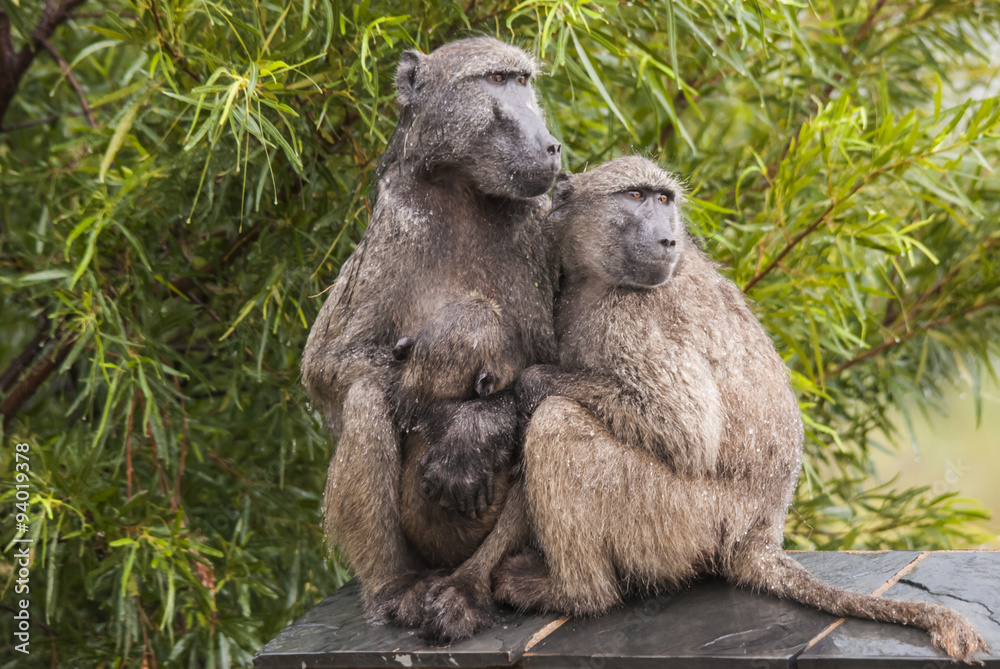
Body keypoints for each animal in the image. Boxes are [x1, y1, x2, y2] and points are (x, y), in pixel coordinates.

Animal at [300, 37, 561, 629]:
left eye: (523, 82)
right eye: (495, 80)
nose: (549, 145)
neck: (464, 192)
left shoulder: (540, 234)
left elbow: (561, 372)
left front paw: (473, 427)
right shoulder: (394, 230)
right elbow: (330, 364)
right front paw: (445, 417)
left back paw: (467, 589)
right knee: (367, 397)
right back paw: (396, 587)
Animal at [420, 156, 987, 664]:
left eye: (664, 200)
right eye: (636, 196)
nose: (668, 239)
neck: (595, 278)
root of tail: (760, 533)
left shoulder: (631, 314)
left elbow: (683, 429)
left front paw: (532, 383)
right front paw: (463, 584)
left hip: (682, 520)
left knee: (556, 423)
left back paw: (574, 594)